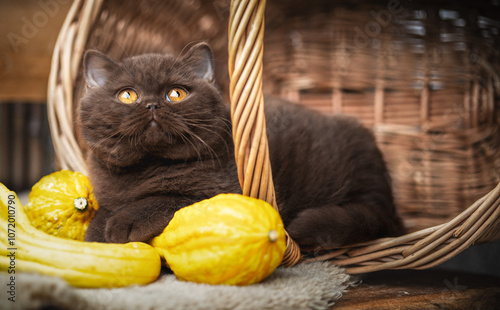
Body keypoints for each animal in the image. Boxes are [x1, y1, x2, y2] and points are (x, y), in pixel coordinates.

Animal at [79, 42, 406, 248]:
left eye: (176, 93)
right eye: (127, 95)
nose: (151, 105)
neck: (148, 167)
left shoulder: (222, 192)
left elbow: (165, 199)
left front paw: (122, 224)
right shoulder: (107, 193)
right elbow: (103, 211)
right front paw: (96, 236)